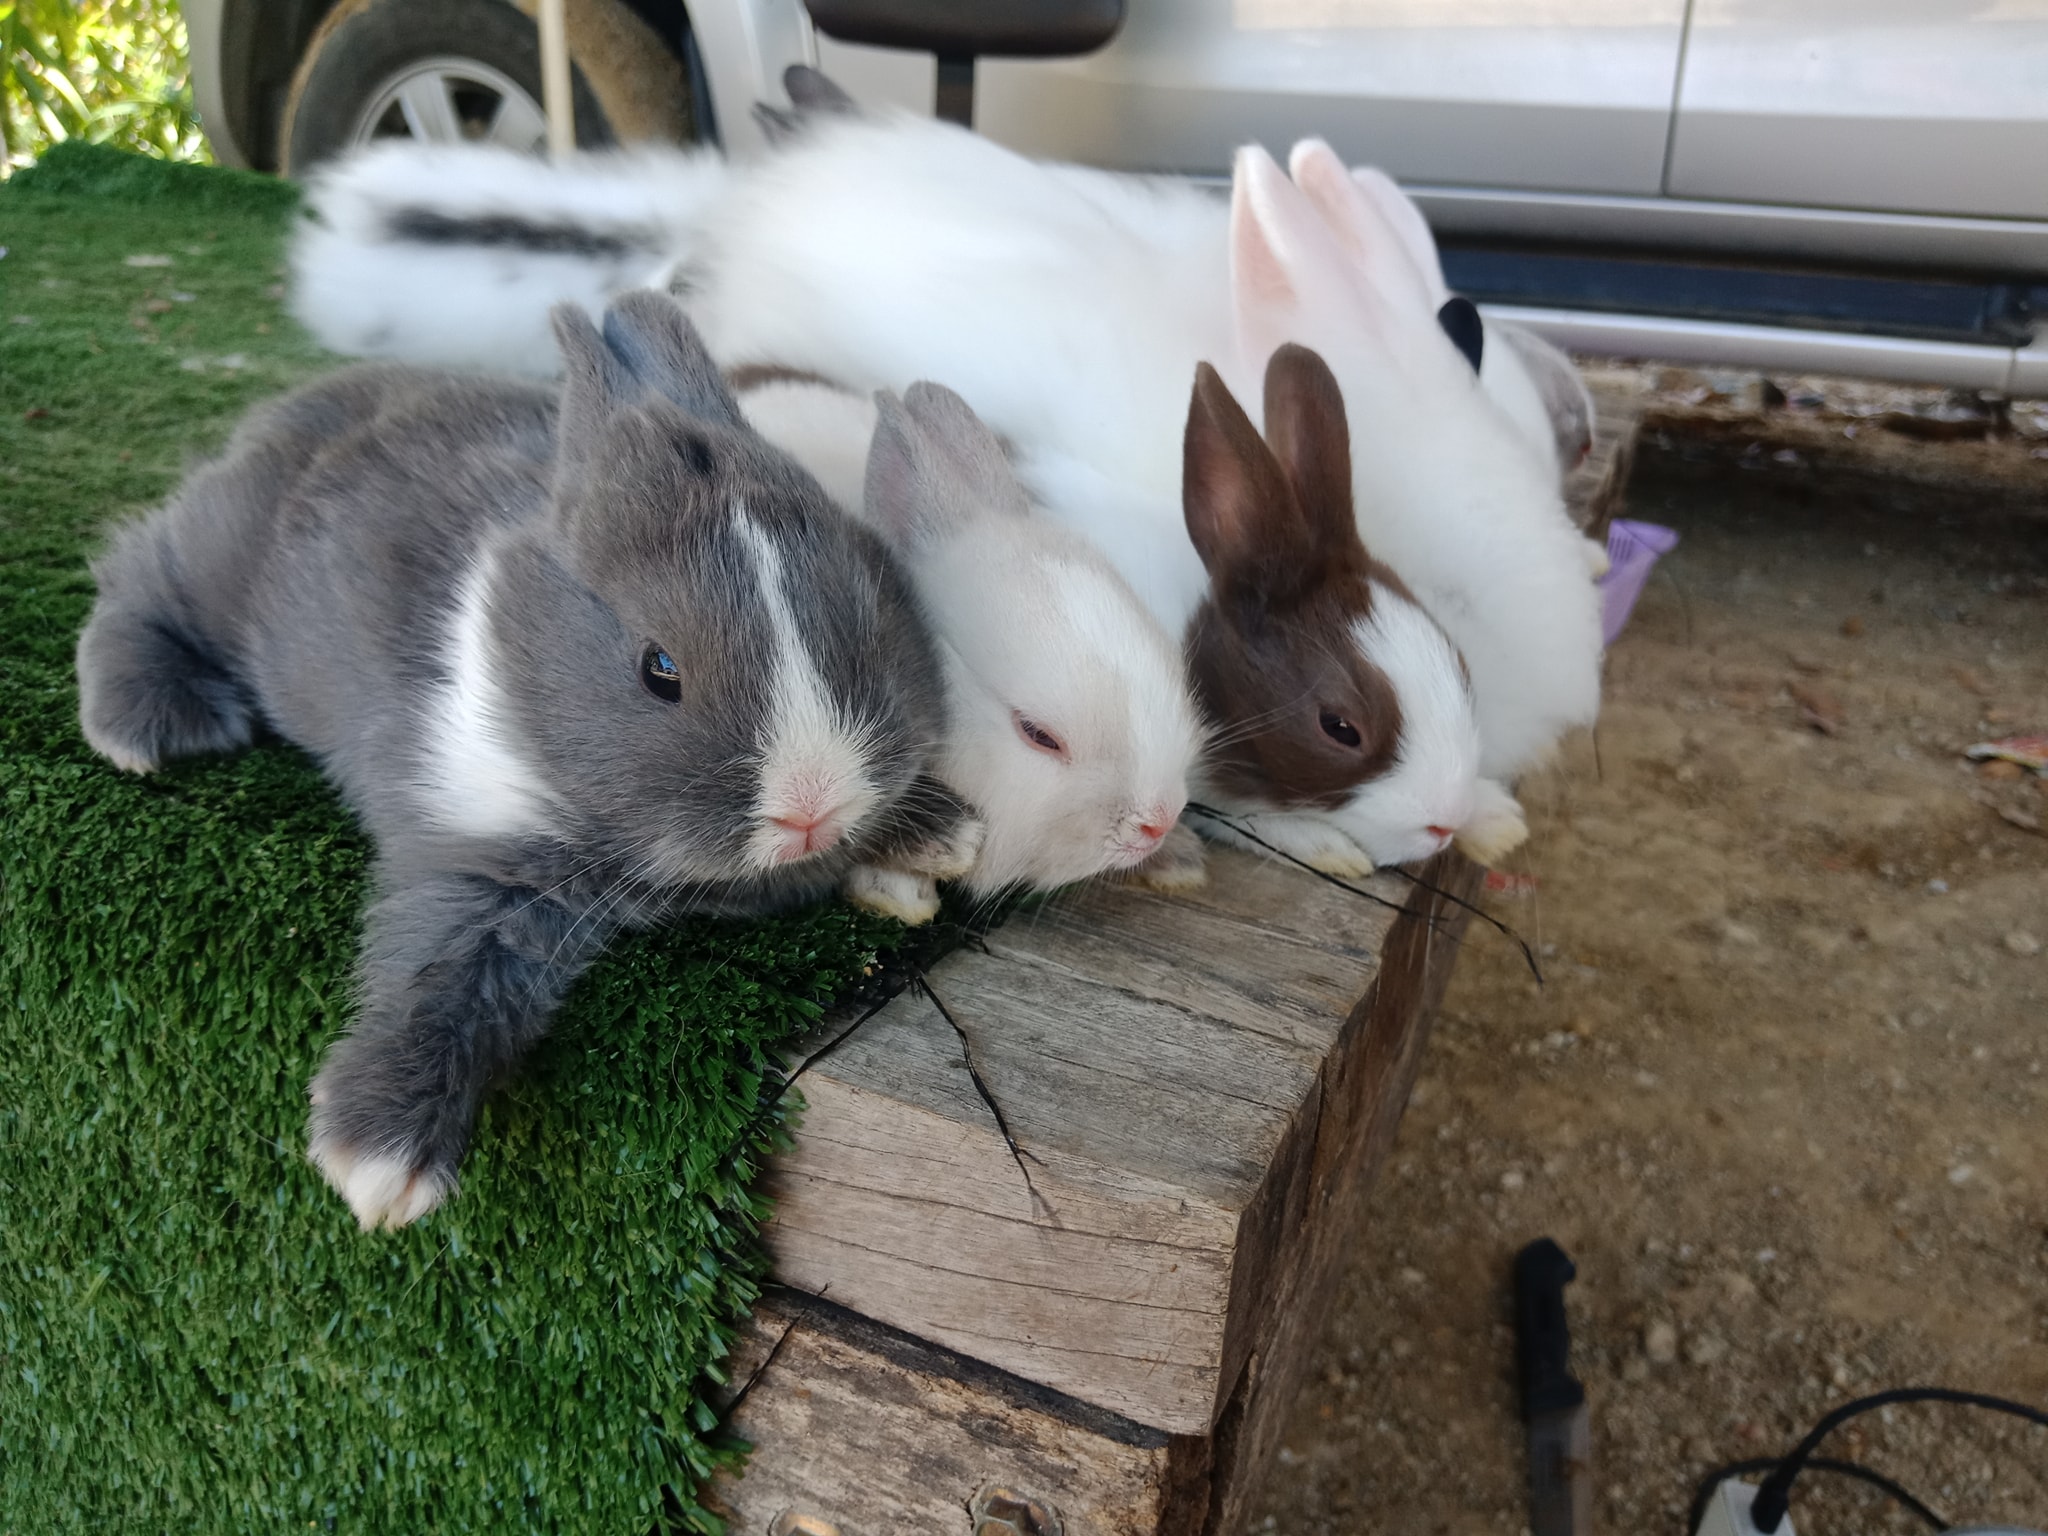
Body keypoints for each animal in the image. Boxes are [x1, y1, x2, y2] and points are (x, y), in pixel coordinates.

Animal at [75, 291, 969, 1231]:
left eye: (871, 619)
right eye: (660, 669)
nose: (812, 805)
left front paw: (939, 837)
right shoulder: (476, 864)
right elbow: (440, 979)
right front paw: (379, 1162)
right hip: (222, 567)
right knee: (139, 570)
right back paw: (143, 727)